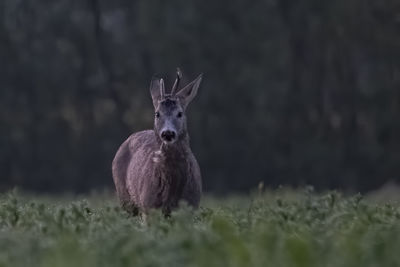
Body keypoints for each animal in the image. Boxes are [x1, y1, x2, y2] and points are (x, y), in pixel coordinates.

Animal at [112, 69, 203, 218]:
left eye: (180, 113)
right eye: (157, 113)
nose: (168, 133)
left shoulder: (191, 206)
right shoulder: (149, 206)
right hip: (125, 199)